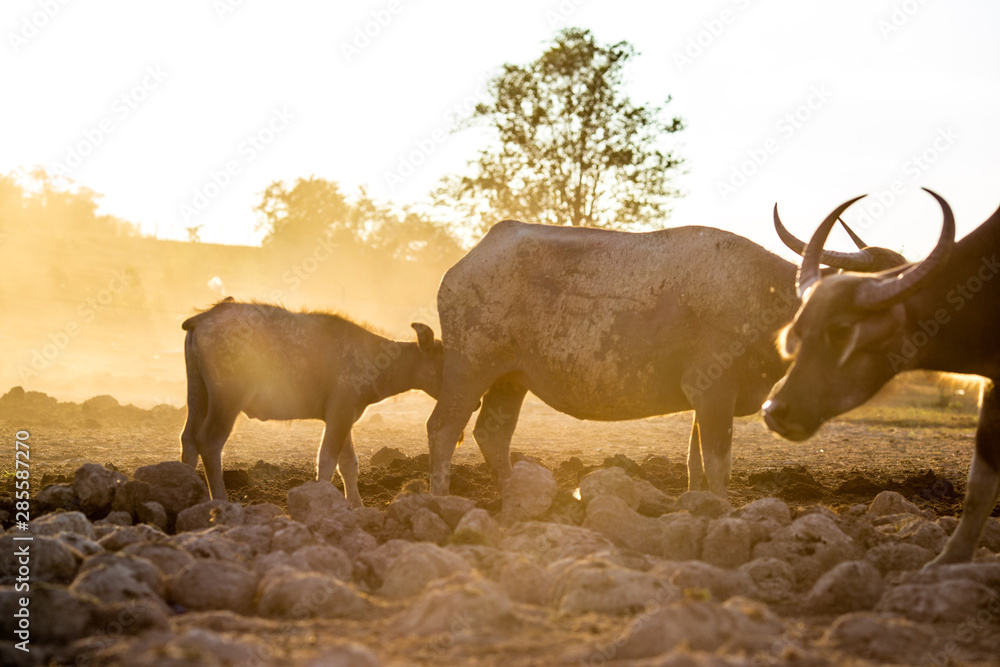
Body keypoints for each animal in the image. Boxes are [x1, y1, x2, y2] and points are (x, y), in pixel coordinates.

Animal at [181, 300, 446, 504]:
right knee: (210, 441)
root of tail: (202, 318)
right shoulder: (340, 413)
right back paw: (220, 500)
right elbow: (327, 460)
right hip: (228, 399)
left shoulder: (344, 415)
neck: (376, 359)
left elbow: (348, 464)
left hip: (197, 394)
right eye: (445, 359)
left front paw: (357, 506)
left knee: (189, 439)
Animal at [426, 217, 912, 498]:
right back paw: (441, 500)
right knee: (444, 427)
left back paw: (515, 499)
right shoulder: (714, 394)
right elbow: (718, 465)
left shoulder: (707, 400)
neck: (769, 296)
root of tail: (459, 269)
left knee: (492, 435)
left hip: (512, 378)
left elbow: (695, 463)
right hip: (470, 367)